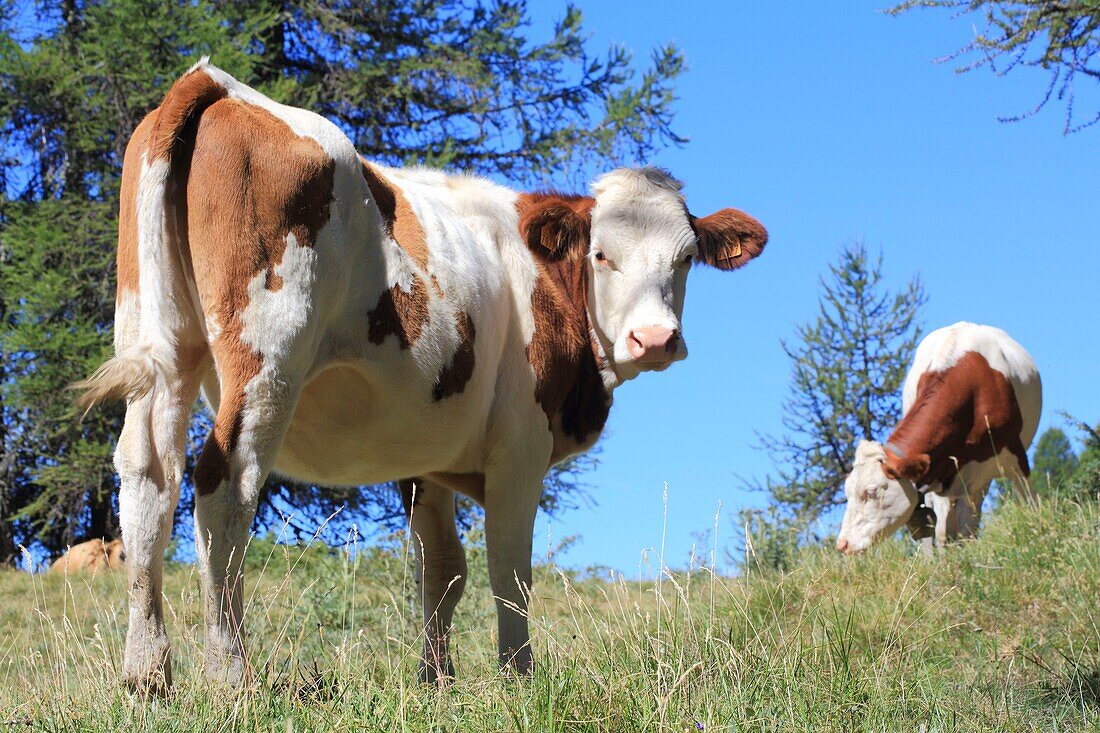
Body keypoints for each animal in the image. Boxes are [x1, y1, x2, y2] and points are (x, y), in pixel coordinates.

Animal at [75, 59, 765, 686]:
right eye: (601, 255)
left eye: (685, 259)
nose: (655, 339)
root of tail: (218, 85)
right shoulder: (521, 442)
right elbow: (509, 570)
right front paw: (519, 678)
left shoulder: (425, 452)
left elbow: (444, 568)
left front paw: (436, 679)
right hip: (267, 358)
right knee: (225, 488)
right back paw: (230, 675)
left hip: (160, 337)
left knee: (148, 478)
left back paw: (147, 675)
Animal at [840, 321, 1038, 554]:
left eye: (871, 491)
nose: (842, 544)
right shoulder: (939, 473)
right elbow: (944, 531)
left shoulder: (1015, 455)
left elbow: (1029, 501)